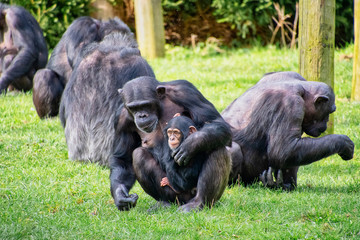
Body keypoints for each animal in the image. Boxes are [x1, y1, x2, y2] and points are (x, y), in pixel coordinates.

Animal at [116, 77, 232, 212]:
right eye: (133, 108)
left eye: (146, 105)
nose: (141, 115)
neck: (160, 106)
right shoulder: (121, 119)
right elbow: (122, 159)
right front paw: (121, 197)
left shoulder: (187, 92)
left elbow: (216, 122)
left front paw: (191, 144)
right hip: (176, 191)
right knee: (139, 155)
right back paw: (165, 202)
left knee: (217, 148)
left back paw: (198, 203)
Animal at [222, 70, 354, 190]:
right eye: (330, 111)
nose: (327, 122)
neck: (302, 91)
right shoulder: (289, 104)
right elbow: (284, 149)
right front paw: (344, 142)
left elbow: (294, 151)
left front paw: (285, 184)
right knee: (235, 150)